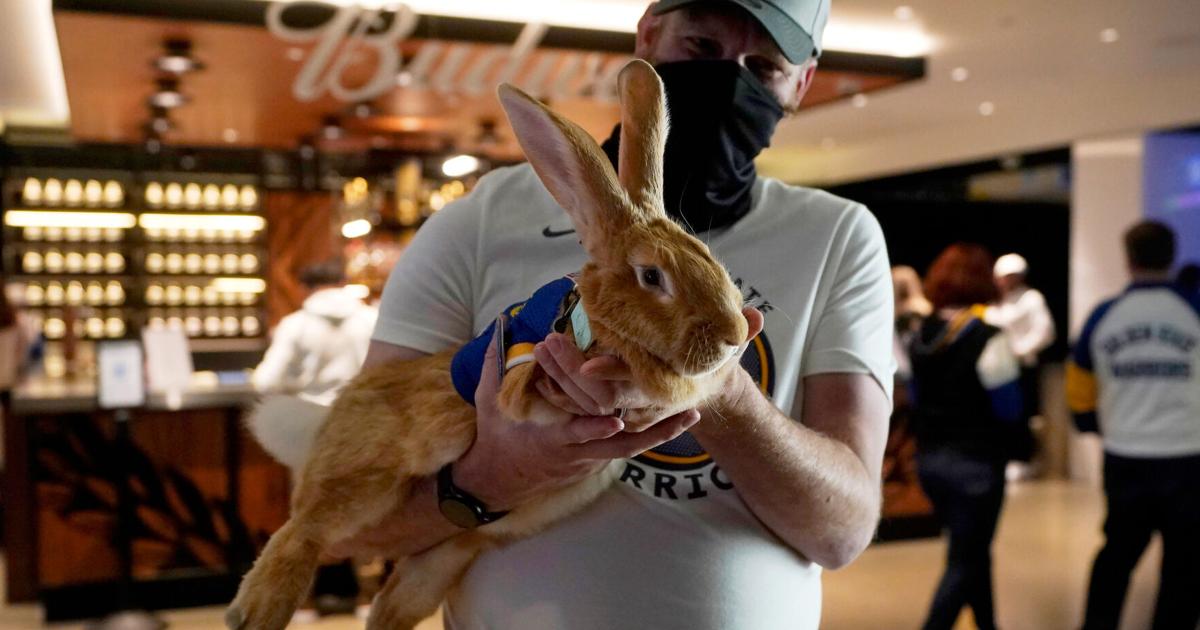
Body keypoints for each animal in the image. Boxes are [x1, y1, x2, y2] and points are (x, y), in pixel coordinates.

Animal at [225, 59, 750, 630]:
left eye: (708, 255)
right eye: (652, 276)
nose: (736, 334)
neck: (594, 321)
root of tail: (325, 422)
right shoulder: (523, 378)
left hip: (448, 552)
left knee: (390, 602)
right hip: (364, 486)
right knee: (303, 531)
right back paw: (252, 613)